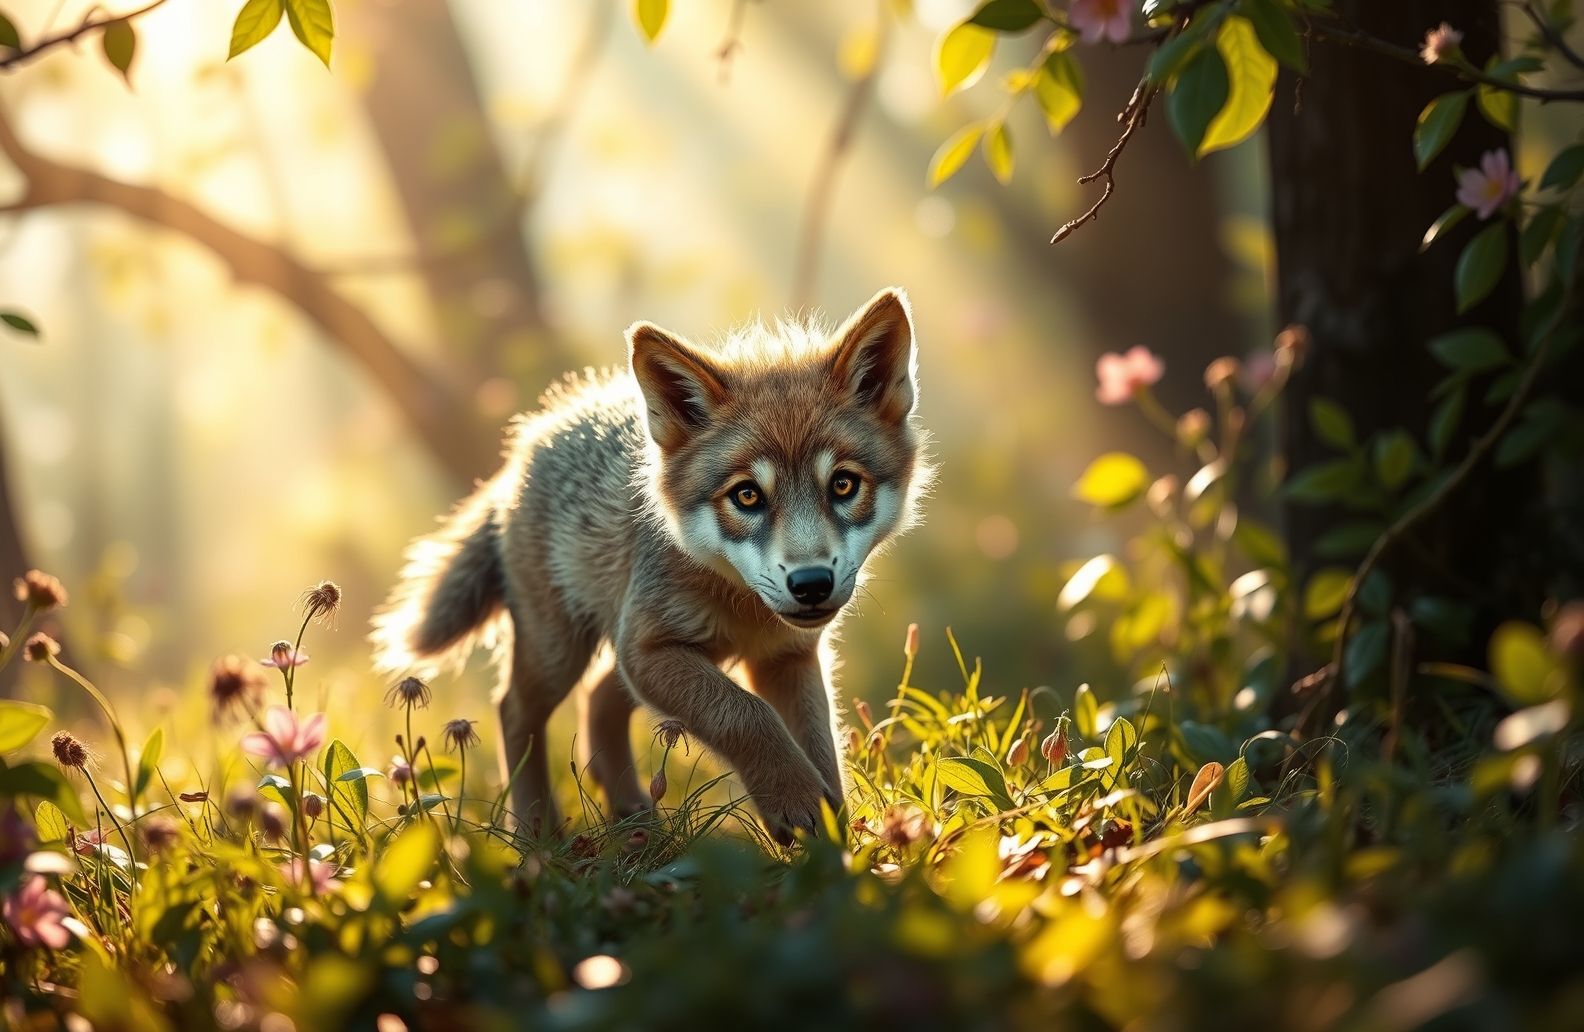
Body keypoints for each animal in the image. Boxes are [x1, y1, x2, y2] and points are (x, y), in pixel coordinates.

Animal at [371, 288, 929, 843]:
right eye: (747, 495)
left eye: (843, 485)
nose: (811, 583)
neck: (741, 611)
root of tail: (530, 442)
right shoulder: (649, 650)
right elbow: (749, 718)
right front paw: (799, 802)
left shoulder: (785, 657)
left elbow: (821, 751)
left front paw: (835, 844)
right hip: (560, 653)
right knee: (514, 710)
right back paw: (538, 837)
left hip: (622, 657)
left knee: (596, 700)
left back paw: (635, 821)